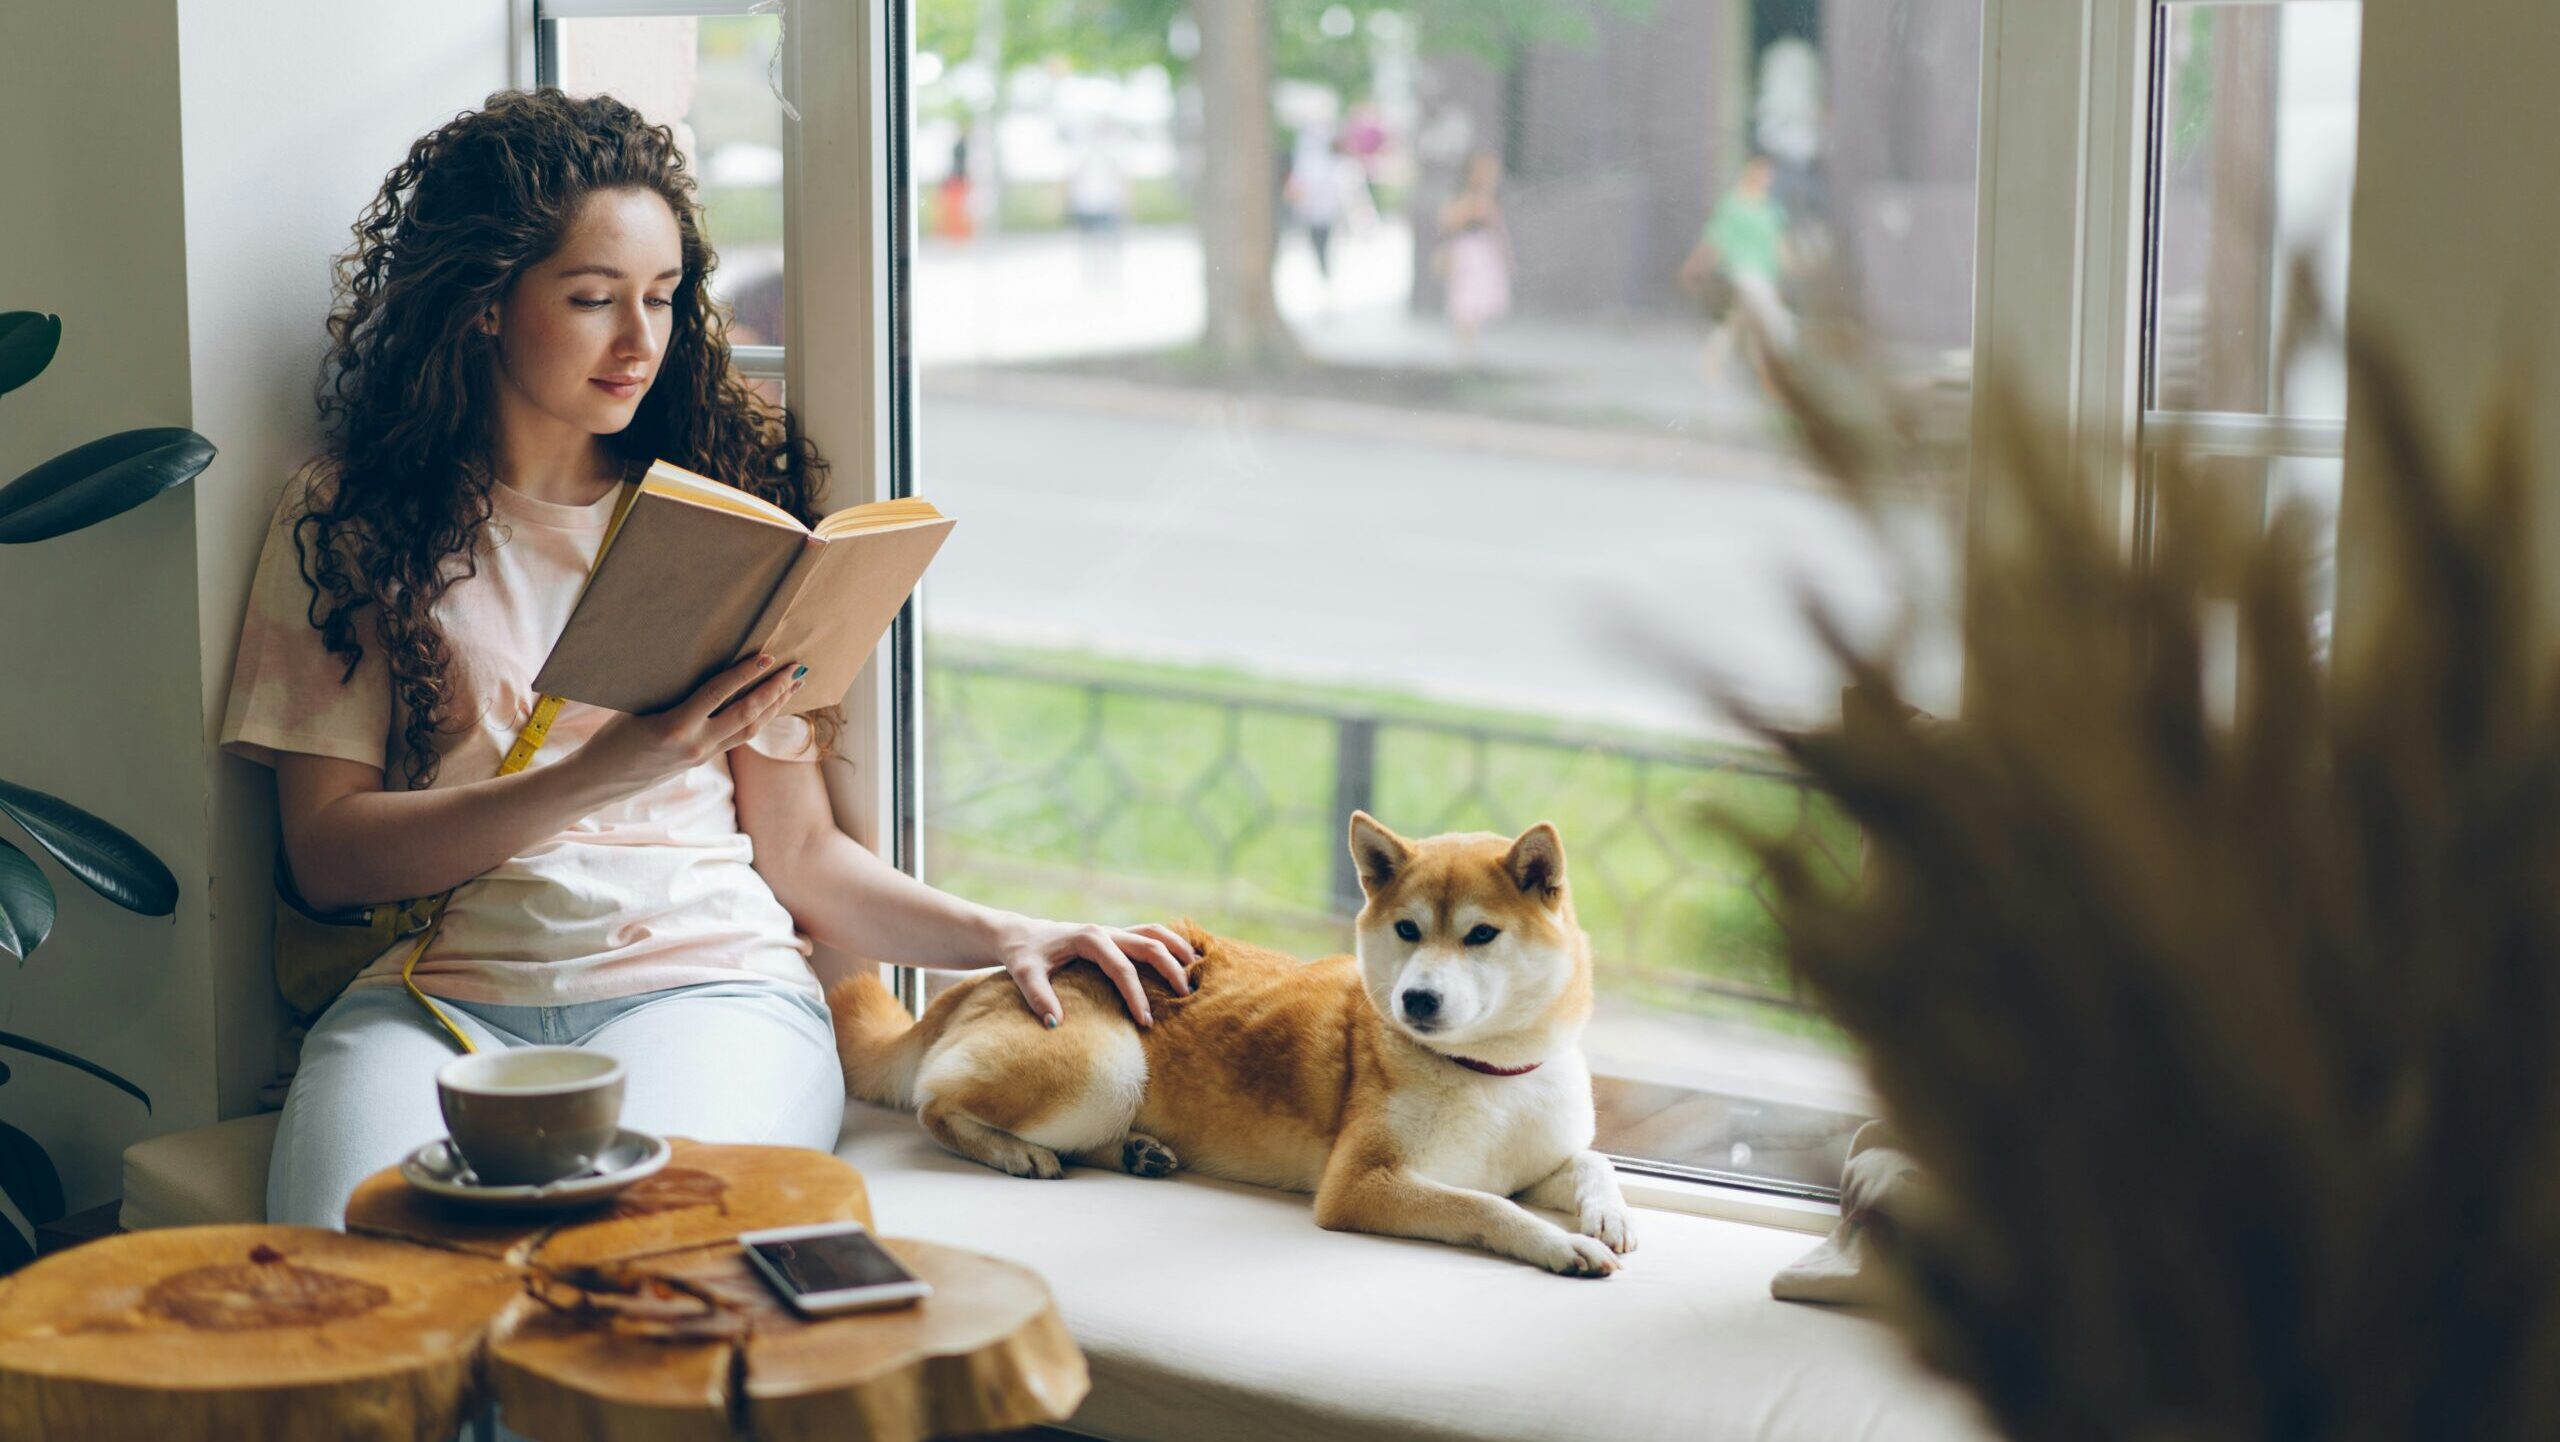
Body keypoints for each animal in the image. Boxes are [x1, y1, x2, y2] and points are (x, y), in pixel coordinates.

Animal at [824, 814, 1638, 1275]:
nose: (1418, 999)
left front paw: (1609, 1215)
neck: (1490, 1073)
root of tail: (989, 977)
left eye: (1480, 935)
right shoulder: (1363, 1184)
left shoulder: (1537, 1159)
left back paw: (1136, 1152)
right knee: (933, 1106)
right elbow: (1487, 1207)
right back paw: (1016, 1150)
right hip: (1107, 1070)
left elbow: (1588, 1162)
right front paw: (1564, 1245)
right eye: (1408, 929)